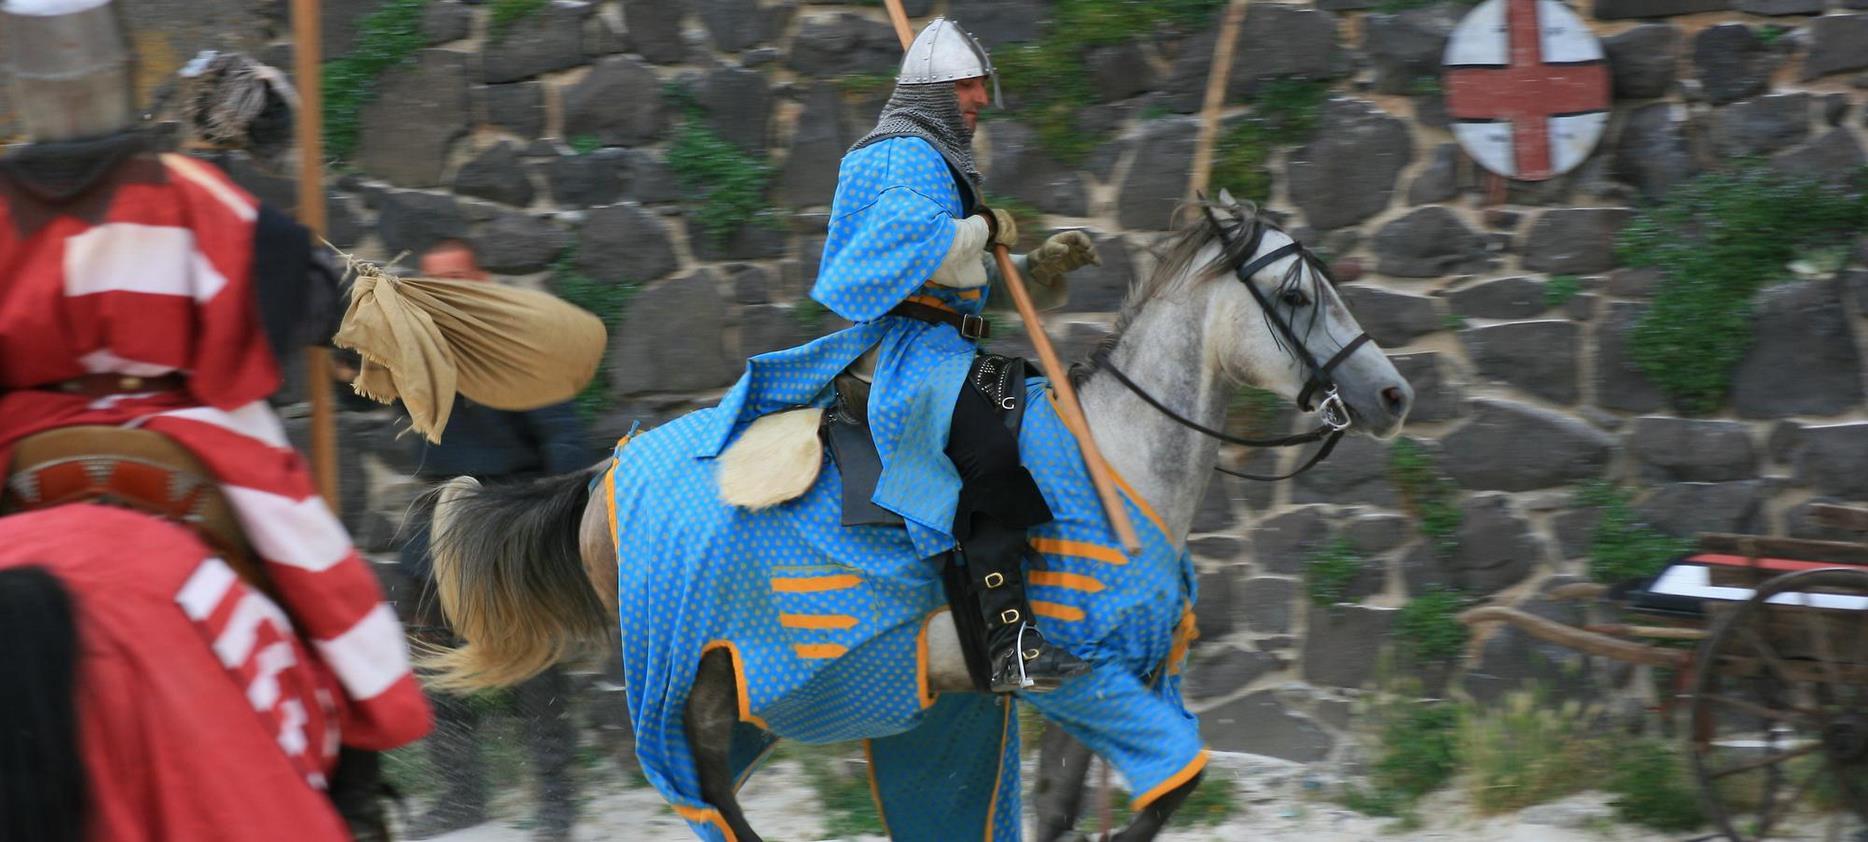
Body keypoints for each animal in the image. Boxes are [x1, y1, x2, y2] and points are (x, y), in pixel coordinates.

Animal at [427, 197, 1412, 842]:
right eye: (1295, 297)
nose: (1391, 395)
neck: (1116, 459)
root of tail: (606, 471)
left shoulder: (1110, 681)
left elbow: (1066, 809)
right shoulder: (1085, 676)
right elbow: (1175, 787)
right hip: (687, 668)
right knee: (702, 788)